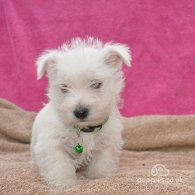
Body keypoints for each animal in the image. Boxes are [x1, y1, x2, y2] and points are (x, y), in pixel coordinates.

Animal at [30, 37, 131, 190]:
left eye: (96, 84)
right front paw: (64, 183)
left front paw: (99, 176)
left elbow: (103, 160)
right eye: (64, 87)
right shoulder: (51, 143)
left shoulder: (108, 140)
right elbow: (59, 164)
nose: (80, 112)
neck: (84, 130)